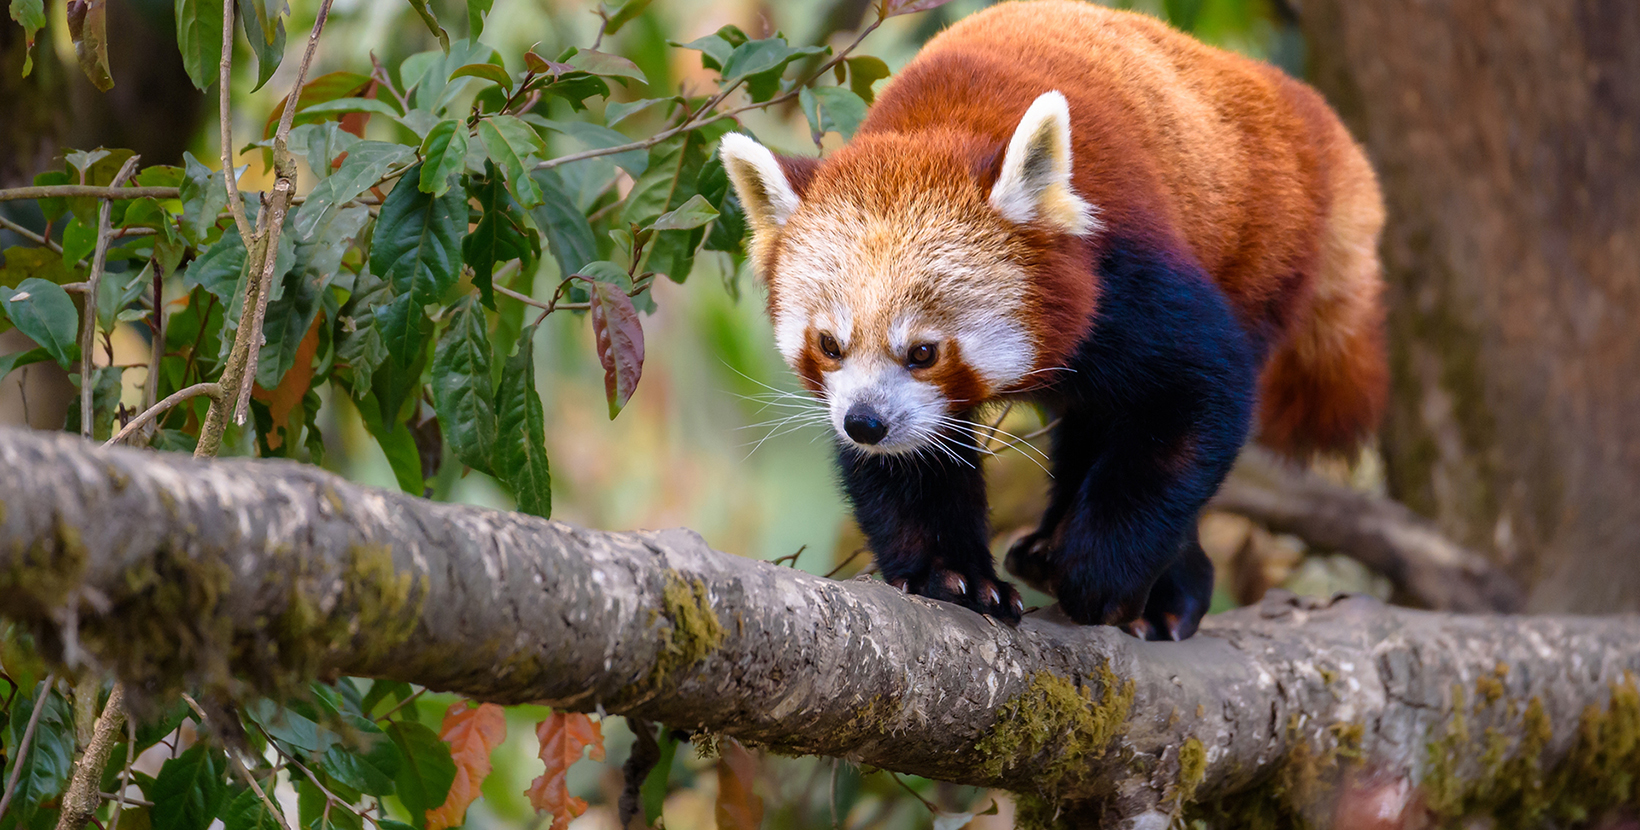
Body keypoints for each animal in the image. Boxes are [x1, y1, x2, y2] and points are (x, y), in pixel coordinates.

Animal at [718, 0, 1384, 639]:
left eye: (924, 352)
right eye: (830, 345)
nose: (865, 423)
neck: (937, 122)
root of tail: (1293, 104)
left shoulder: (1124, 277)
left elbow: (1197, 396)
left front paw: (1100, 575)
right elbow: (913, 470)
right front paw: (954, 576)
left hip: (1263, 244)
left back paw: (1158, 590)